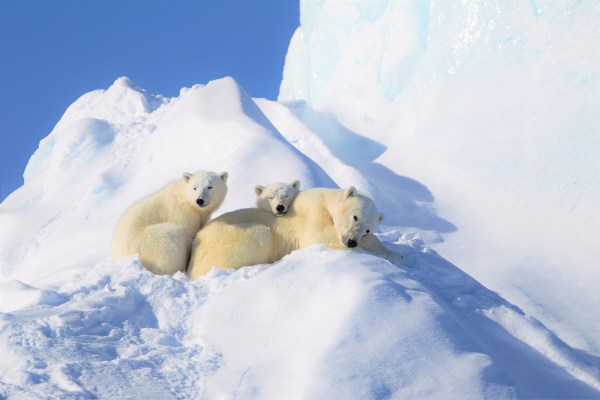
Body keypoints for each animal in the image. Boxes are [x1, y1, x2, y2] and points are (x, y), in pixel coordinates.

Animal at [188, 187, 394, 278]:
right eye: (355, 217)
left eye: (367, 229)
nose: (351, 241)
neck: (326, 199)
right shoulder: (313, 212)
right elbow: (318, 236)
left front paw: (394, 254)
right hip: (229, 237)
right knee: (261, 234)